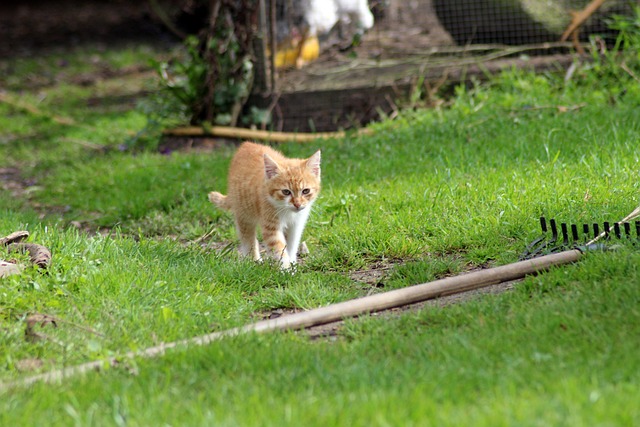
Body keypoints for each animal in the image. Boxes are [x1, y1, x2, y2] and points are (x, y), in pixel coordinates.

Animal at [209, 142, 322, 270]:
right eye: (286, 192)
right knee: (247, 238)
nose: (297, 204)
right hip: (244, 213)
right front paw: (286, 270)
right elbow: (279, 248)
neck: (288, 212)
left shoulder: (296, 224)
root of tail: (246, 144)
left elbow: (291, 245)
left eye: (306, 191)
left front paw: (292, 264)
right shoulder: (270, 225)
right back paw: (253, 260)